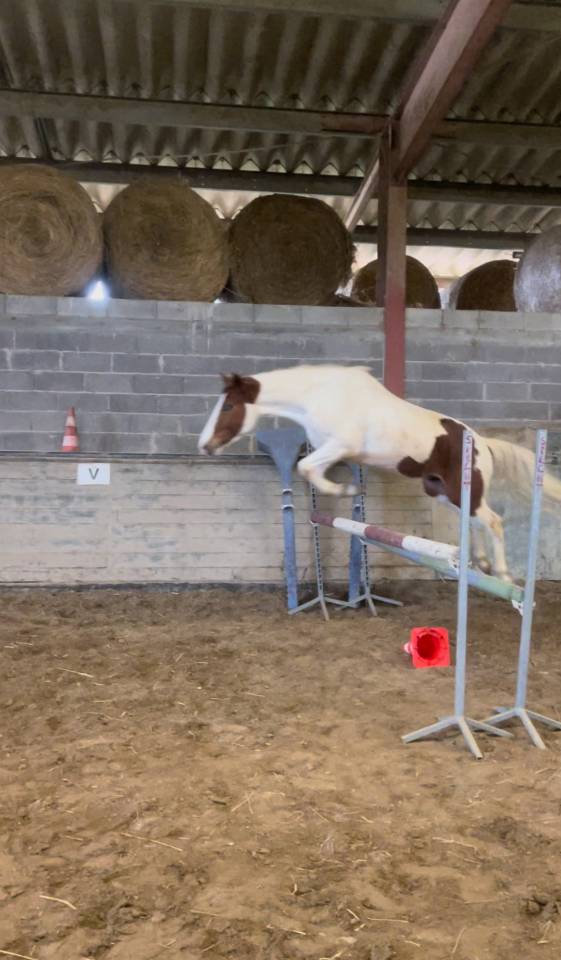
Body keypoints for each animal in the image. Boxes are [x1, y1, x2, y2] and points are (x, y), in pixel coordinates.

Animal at [197, 364, 561, 582]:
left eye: (228, 405)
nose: (204, 445)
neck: (319, 396)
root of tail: (482, 442)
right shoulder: (334, 451)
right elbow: (310, 469)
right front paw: (348, 491)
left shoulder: (339, 446)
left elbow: (306, 468)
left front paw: (347, 491)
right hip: (445, 493)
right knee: (476, 522)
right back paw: (482, 562)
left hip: (461, 492)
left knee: (493, 521)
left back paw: (502, 573)